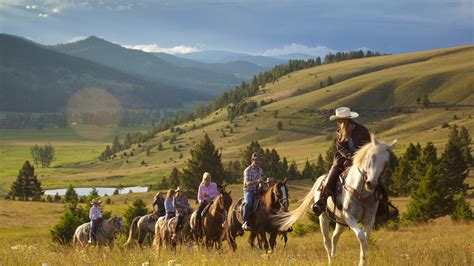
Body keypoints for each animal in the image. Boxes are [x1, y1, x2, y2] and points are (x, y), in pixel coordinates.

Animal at [274, 135, 396, 266]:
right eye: (371, 157)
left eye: (386, 162)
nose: (371, 183)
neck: (361, 190)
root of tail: (322, 178)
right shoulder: (349, 216)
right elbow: (361, 237)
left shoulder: (369, 219)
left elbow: (365, 239)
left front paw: (363, 261)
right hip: (323, 218)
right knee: (327, 241)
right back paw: (330, 260)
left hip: (340, 222)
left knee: (334, 238)